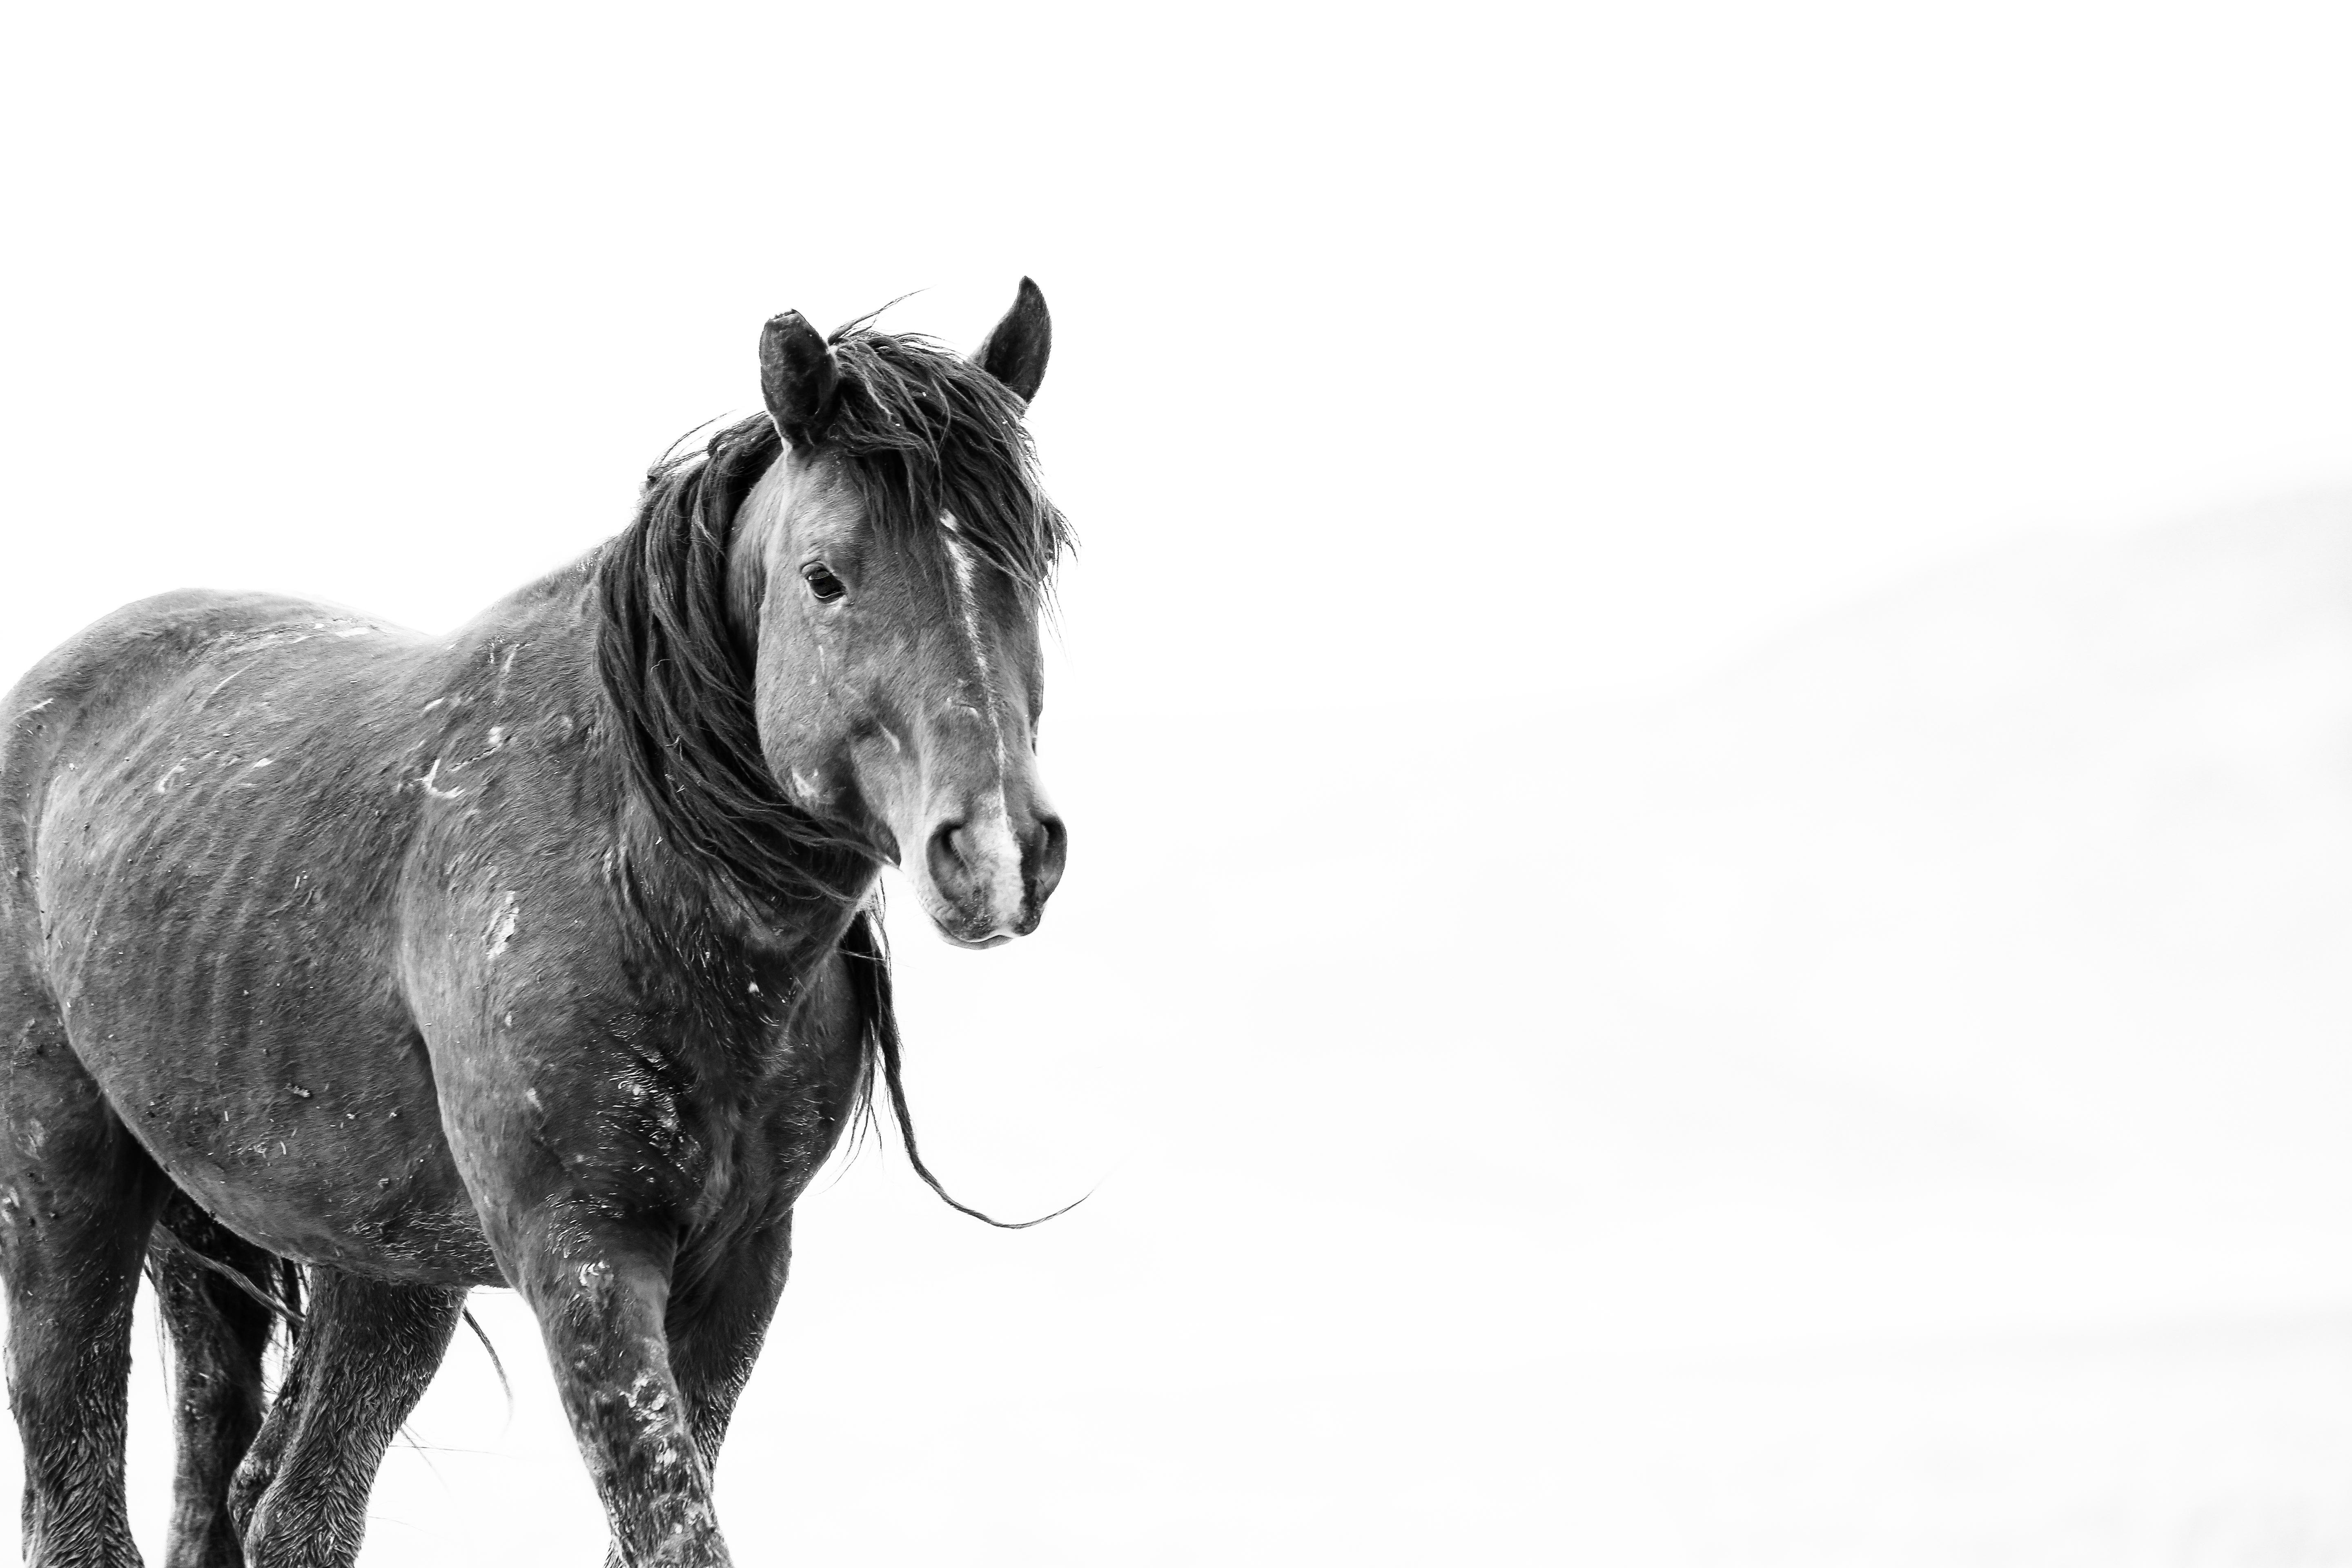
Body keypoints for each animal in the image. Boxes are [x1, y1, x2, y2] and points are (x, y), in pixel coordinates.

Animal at [0, 285, 1068, 1568]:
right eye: (827, 577)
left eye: (1036, 558)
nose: (999, 850)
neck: (647, 886)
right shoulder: (588, 1262)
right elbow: (674, 1527)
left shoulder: (740, 1271)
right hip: (67, 1194)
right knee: (85, 1494)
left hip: (368, 1266)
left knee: (274, 1504)